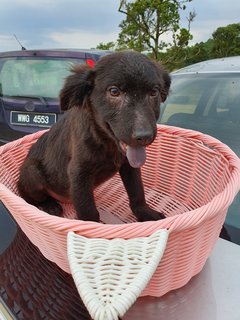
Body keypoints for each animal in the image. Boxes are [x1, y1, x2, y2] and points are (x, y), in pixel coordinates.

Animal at [17, 52, 171, 222]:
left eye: (154, 92)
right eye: (114, 91)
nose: (144, 137)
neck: (106, 142)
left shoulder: (129, 165)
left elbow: (137, 191)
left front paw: (145, 212)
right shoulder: (78, 173)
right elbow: (88, 211)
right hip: (32, 173)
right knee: (27, 196)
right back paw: (49, 205)